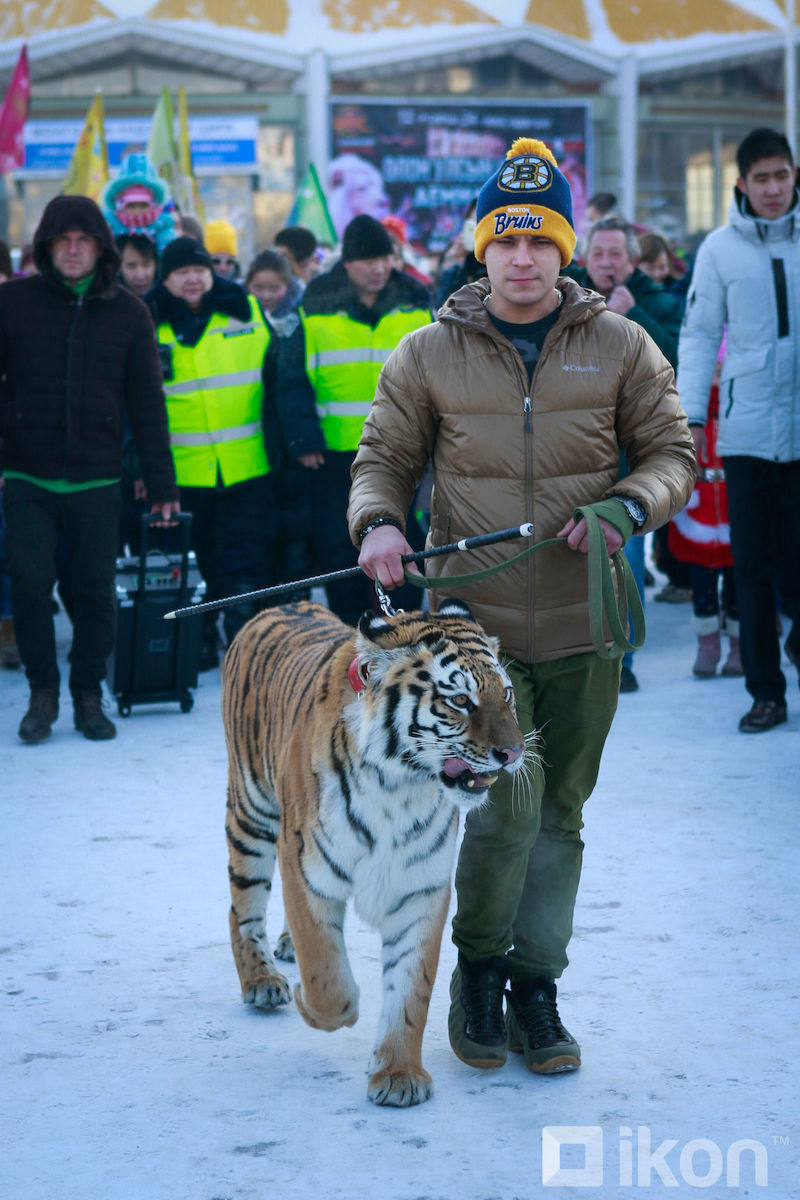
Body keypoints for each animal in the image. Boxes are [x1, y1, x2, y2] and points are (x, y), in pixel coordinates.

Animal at [221, 597, 527, 1104]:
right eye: (459, 700)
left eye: (505, 694)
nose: (514, 753)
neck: (399, 786)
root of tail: (284, 602)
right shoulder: (304, 863)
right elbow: (325, 973)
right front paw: (316, 1005)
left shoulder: (421, 886)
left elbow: (411, 989)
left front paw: (399, 1074)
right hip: (253, 812)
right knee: (240, 905)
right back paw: (263, 982)